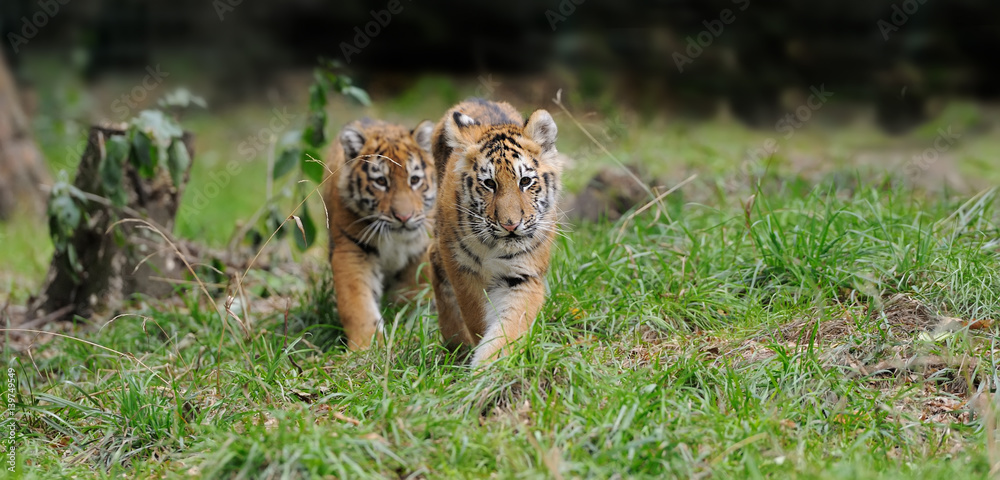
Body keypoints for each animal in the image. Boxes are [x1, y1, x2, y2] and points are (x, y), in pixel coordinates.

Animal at [323, 118, 436, 350]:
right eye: (381, 181)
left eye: (414, 180)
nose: (404, 217)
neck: (395, 237)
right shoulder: (352, 250)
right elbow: (357, 304)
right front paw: (366, 345)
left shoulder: (421, 250)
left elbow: (414, 292)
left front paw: (410, 323)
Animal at [429, 98, 562, 366]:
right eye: (489, 183)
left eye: (525, 181)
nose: (510, 225)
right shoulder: (462, 268)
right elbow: (475, 315)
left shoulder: (524, 275)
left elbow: (509, 328)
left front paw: (489, 368)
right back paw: (455, 344)